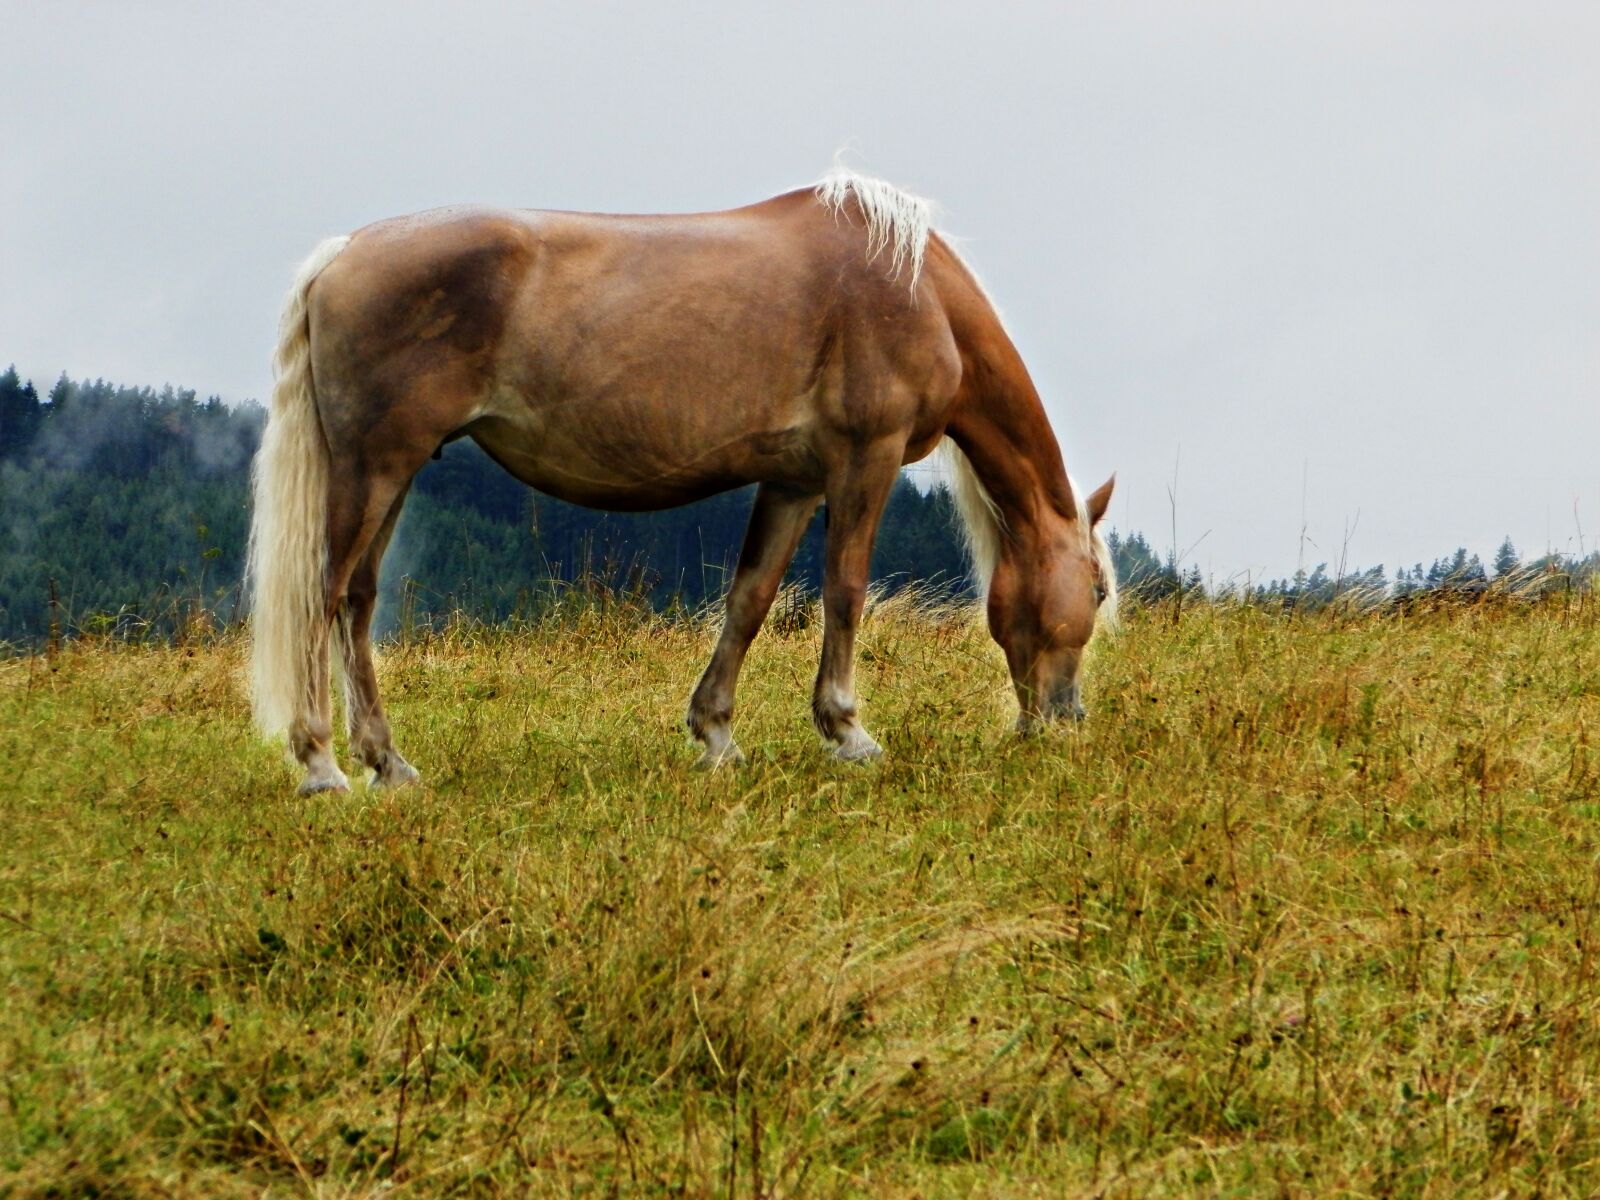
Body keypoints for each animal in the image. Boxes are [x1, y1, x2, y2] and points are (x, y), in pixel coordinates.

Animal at [249, 167, 1120, 790]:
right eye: (1099, 590)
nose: (1065, 718)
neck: (916, 289)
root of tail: (341, 255)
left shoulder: (794, 482)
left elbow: (750, 599)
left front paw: (717, 734)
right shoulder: (863, 460)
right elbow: (845, 592)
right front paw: (847, 731)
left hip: (391, 474)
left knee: (359, 602)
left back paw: (387, 761)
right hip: (374, 467)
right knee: (323, 595)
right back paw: (321, 764)